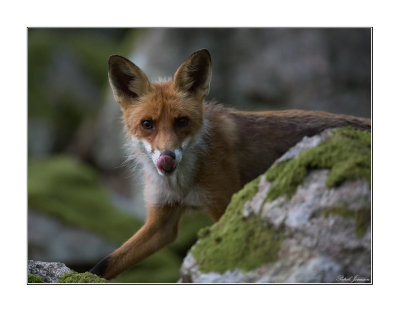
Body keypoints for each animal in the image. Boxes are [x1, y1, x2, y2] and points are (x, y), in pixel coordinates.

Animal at [89, 49, 370, 280]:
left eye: (182, 121)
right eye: (148, 124)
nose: (167, 158)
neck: (183, 184)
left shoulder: (224, 207)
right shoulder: (162, 222)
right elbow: (105, 264)